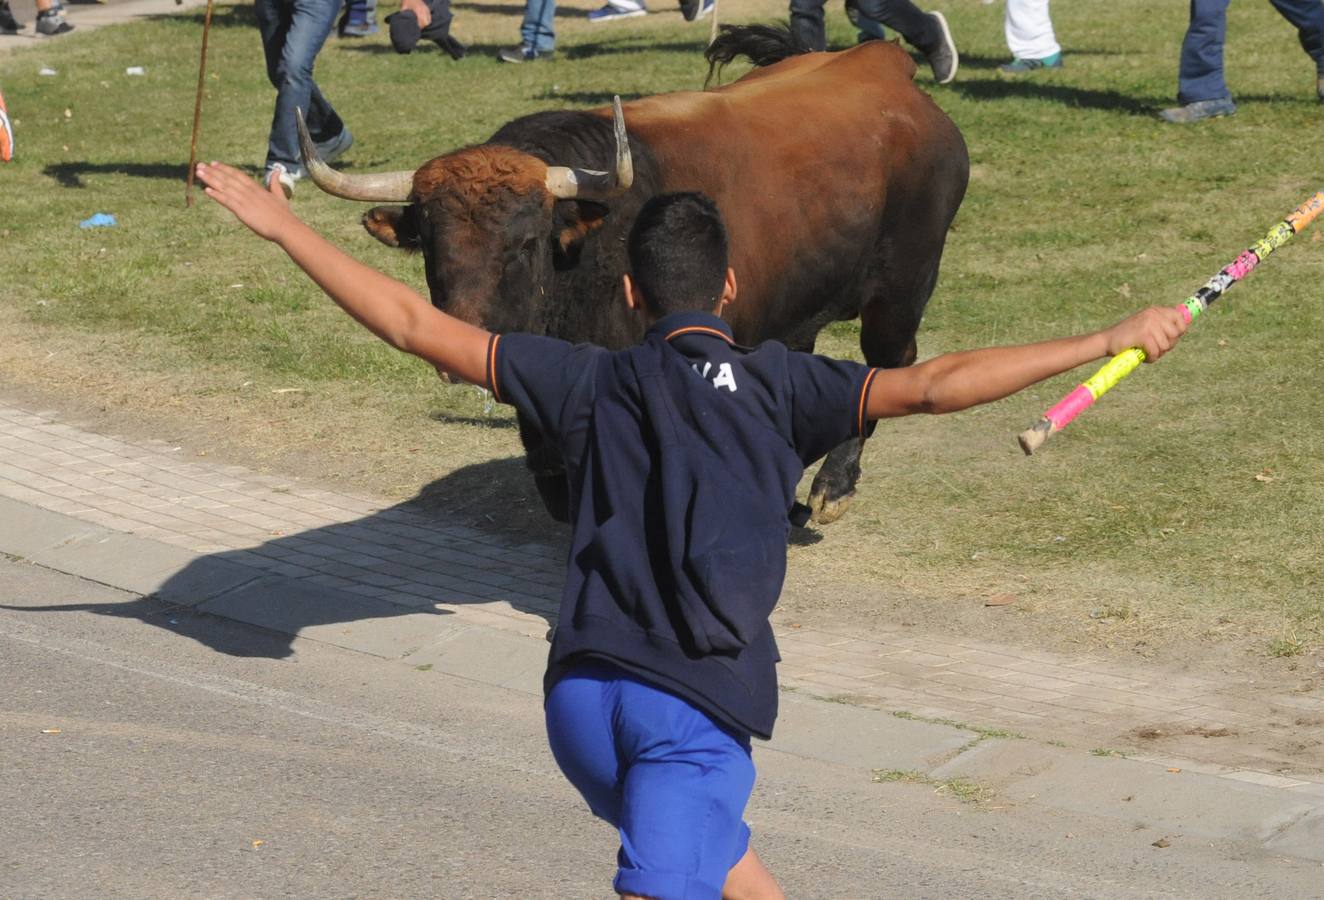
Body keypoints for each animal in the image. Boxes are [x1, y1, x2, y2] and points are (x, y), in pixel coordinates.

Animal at [300, 24, 969, 524]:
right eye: (431, 244)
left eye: (524, 242)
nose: (456, 342)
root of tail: (882, 64)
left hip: (901, 292)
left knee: (889, 363)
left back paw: (834, 483)